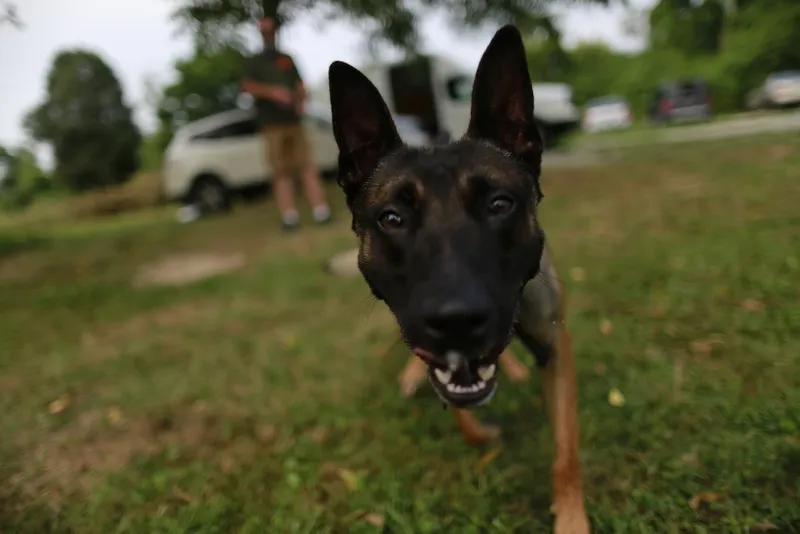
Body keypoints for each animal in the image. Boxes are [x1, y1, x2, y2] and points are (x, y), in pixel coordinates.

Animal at [328, 24, 592, 534]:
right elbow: (457, 408)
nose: (456, 320)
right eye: (392, 218)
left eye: (499, 205)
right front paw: (476, 429)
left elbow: (566, 451)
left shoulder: (556, 346)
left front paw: (571, 517)